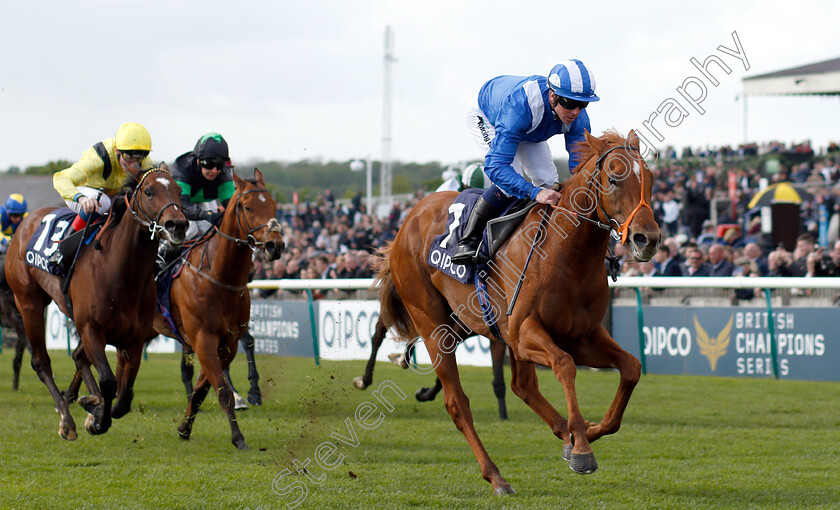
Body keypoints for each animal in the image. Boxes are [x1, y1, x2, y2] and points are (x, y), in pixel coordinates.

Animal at [4, 169, 188, 440]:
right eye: (148, 191)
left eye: (179, 190)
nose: (178, 225)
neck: (119, 270)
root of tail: (23, 225)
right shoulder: (91, 329)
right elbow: (109, 382)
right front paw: (98, 418)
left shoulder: (134, 338)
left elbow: (124, 396)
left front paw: (95, 408)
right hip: (28, 303)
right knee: (41, 361)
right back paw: (66, 419)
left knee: (78, 357)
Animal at [156, 168, 288, 450]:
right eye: (247, 206)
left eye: (273, 205)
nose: (276, 245)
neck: (217, 275)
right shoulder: (203, 338)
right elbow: (222, 389)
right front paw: (238, 437)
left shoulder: (228, 340)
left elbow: (204, 387)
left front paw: (184, 427)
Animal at [378, 129, 660, 492]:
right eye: (613, 178)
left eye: (650, 179)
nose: (647, 239)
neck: (566, 253)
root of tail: (404, 225)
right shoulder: (527, 332)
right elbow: (565, 365)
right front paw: (582, 448)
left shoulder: (582, 335)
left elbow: (631, 367)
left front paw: (589, 430)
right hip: (432, 325)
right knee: (458, 403)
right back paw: (497, 476)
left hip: (480, 329)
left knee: (522, 386)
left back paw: (565, 434)